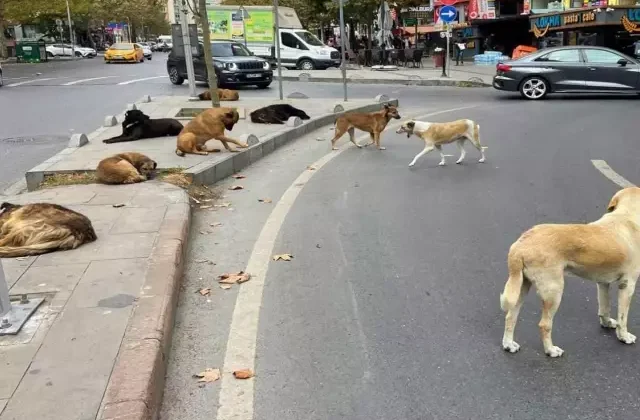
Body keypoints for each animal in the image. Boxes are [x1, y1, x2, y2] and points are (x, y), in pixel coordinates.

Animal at [502, 187, 640, 358]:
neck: (627, 215)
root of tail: (520, 244)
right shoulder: (628, 285)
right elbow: (623, 317)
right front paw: (624, 337)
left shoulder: (602, 283)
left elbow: (604, 307)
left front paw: (607, 323)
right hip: (554, 292)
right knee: (544, 324)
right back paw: (551, 350)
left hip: (521, 287)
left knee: (510, 316)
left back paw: (508, 344)